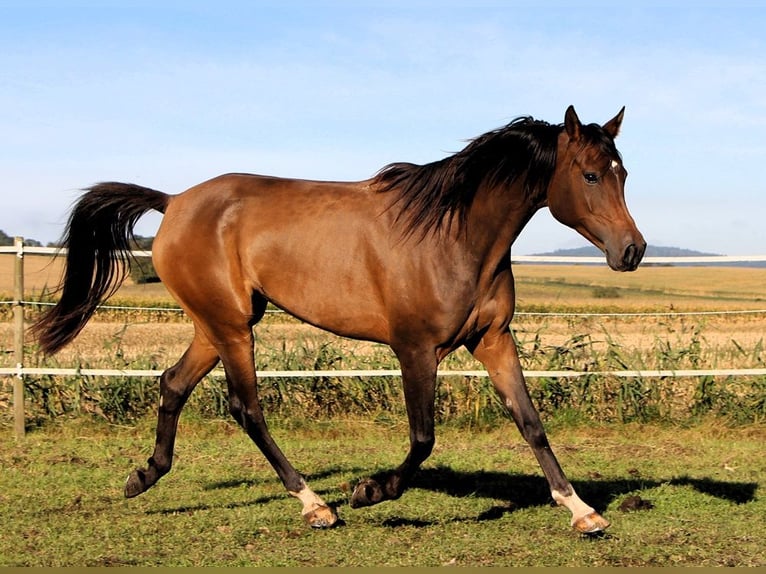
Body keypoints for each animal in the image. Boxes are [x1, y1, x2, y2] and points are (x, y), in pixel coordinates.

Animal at [34, 107, 648, 536]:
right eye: (590, 175)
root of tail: (174, 200)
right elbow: (423, 437)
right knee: (245, 408)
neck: (455, 234)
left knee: (173, 384)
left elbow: (531, 422)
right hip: (233, 328)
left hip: (216, 325)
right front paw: (371, 490)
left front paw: (582, 512)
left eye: (623, 174)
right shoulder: (415, 348)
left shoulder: (493, 340)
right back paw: (317, 506)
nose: (633, 250)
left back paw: (143, 476)